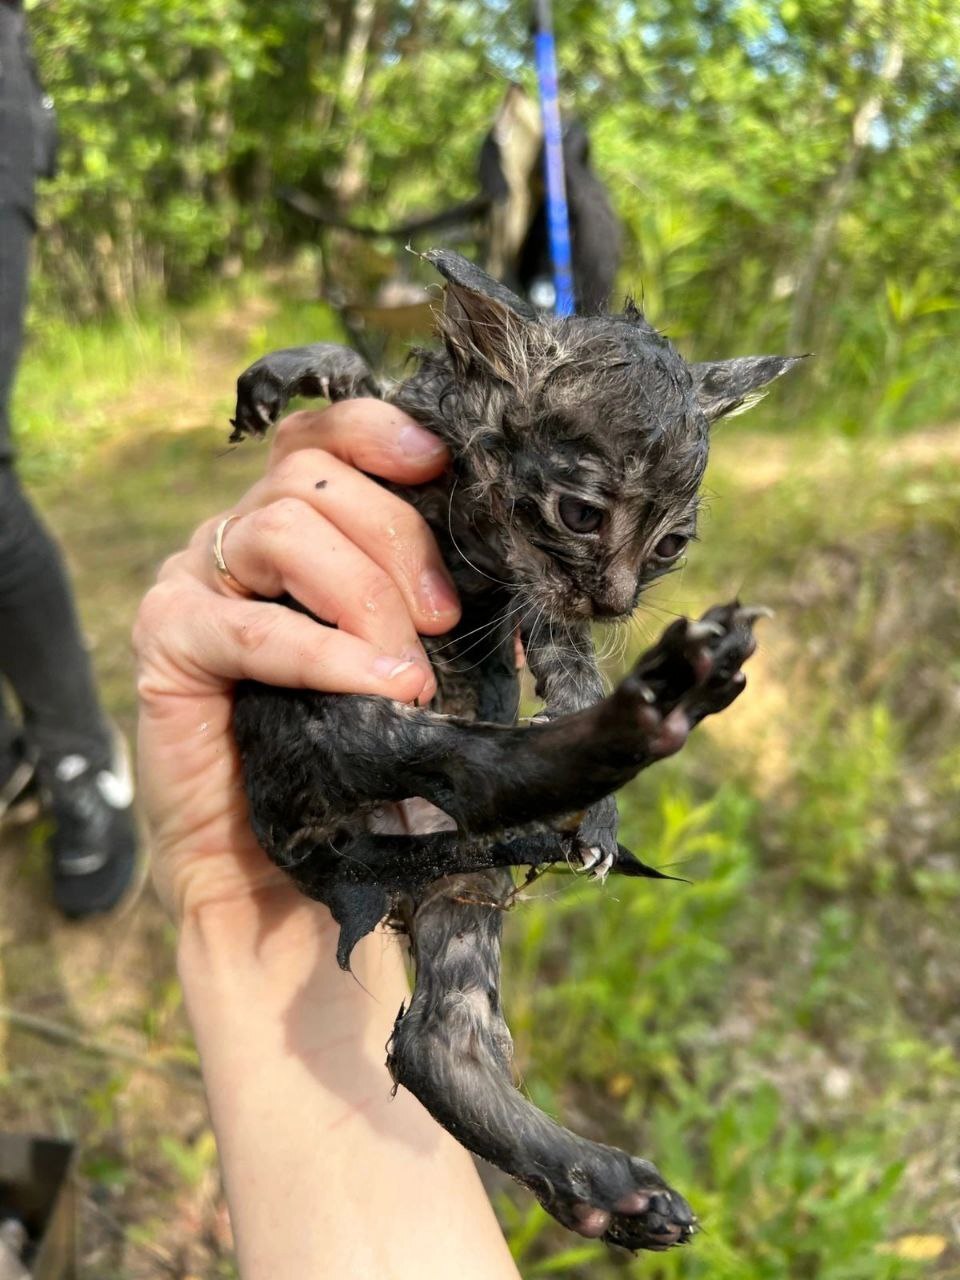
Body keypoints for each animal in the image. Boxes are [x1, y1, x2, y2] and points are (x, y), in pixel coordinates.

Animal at [229, 249, 798, 1249]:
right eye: (580, 515)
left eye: (671, 546)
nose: (618, 603)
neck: (471, 526)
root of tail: (312, 844)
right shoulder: (429, 462)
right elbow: (365, 381)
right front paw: (300, 367)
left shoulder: (541, 609)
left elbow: (570, 668)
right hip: (345, 720)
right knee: (478, 770)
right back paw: (658, 707)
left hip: (463, 884)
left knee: (435, 1042)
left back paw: (610, 1189)